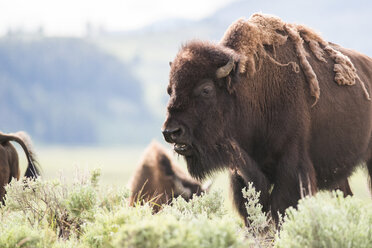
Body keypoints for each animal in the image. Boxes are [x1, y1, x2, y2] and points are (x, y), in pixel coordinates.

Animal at [162, 13, 372, 223]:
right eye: (170, 90)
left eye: (206, 89)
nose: (171, 132)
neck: (247, 91)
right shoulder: (242, 172)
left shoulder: (291, 165)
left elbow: (281, 207)